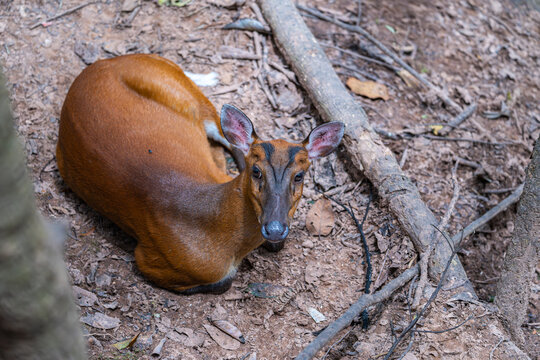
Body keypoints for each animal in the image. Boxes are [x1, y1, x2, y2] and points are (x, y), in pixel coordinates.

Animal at [57, 54, 344, 296]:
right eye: (256, 171)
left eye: (300, 176)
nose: (274, 228)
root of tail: (108, 60)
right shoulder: (149, 259)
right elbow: (222, 282)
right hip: (185, 93)